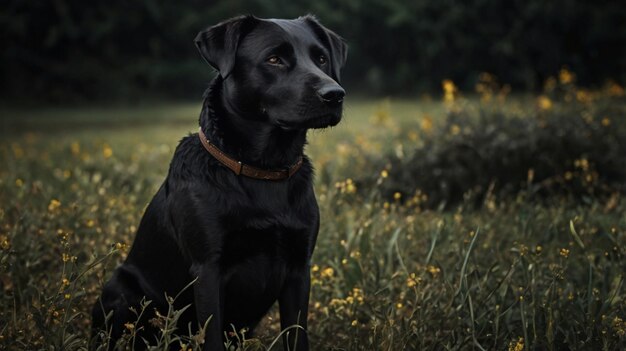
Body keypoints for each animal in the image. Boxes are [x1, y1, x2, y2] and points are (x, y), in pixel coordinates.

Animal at [91, 15, 346, 350]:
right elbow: (210, 336)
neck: (262, 170)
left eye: (322, 58)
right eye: (274, 59)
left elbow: (297, 335)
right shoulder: (208, 269)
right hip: (121, 291)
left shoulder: (299, 267)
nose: (335, 94)